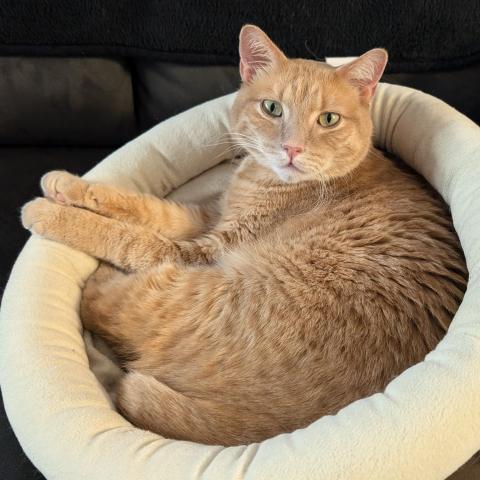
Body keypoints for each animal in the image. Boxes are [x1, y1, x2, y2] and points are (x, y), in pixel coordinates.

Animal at [21, 24, 467, 446]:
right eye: (272, 108)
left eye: (328, 119)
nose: (291, 149)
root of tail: (280, 426)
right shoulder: (209, 217)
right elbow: (143, 206)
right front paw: (67, 185)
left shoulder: (198, 251)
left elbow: (126, 237)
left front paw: (49, 213)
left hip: (186, 290)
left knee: (103, 303)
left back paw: (99, 276)